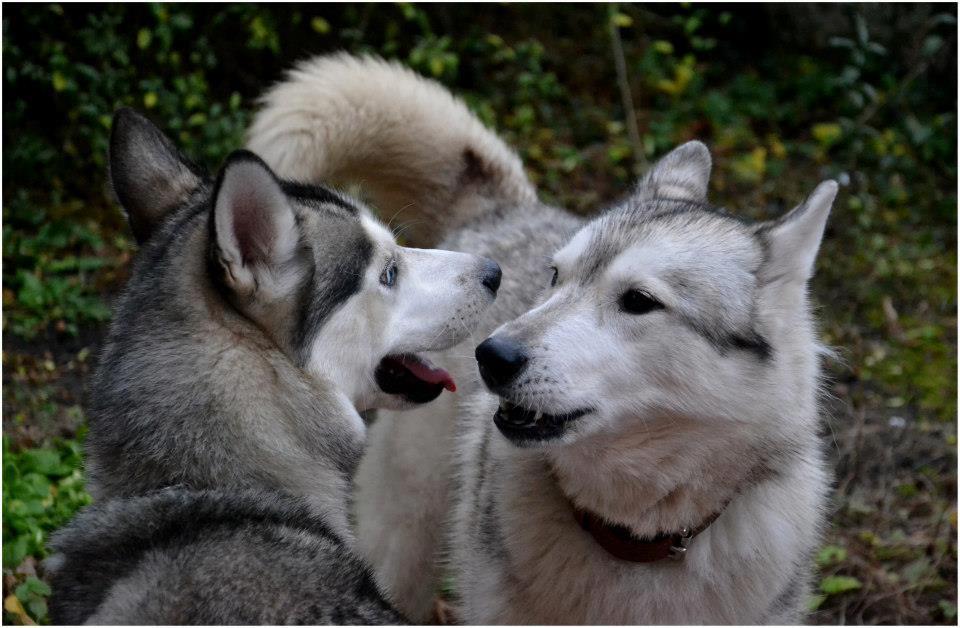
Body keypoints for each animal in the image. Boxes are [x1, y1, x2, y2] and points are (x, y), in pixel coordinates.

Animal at [249, 52, 840, 624]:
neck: (635, 541)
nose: (491, 356)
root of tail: (506, 206)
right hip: (405, 540)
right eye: (557, 277)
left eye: (638, 301)